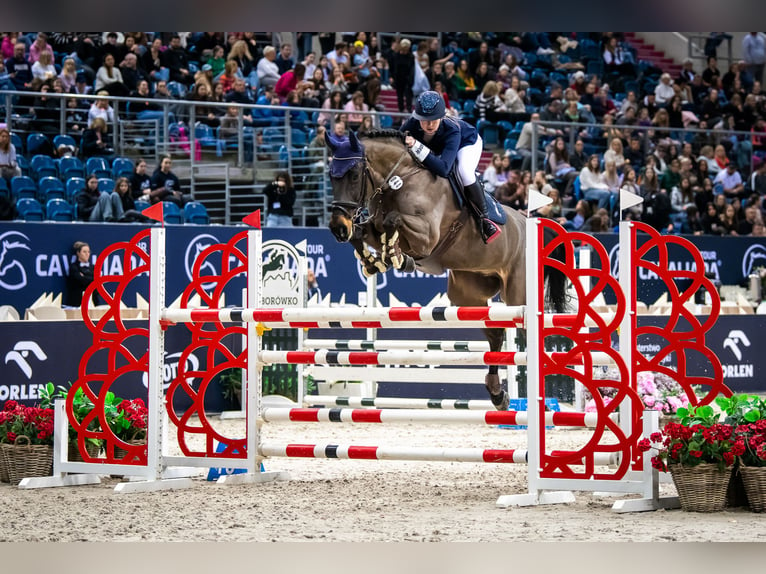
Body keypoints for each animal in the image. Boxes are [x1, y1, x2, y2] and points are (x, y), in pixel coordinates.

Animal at [324, 129, 568, 414]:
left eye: (353, 174)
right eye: (331, 175)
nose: (338, 227)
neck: (399, 181)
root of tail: (529, 224)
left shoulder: (426, 237)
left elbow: (393, 220)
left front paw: (396, 257)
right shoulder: (374, 225)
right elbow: (366, 232)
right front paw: (375, 261)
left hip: (518, 294)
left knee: (527, 333)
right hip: (468, 295)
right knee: (495, 334)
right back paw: (498, 394)